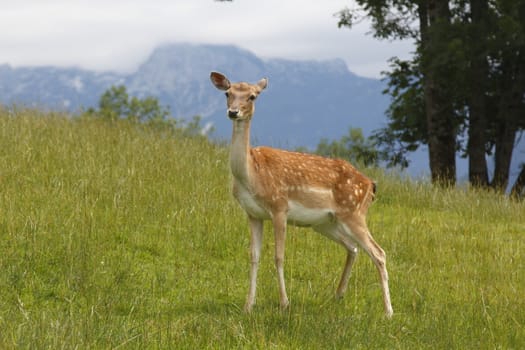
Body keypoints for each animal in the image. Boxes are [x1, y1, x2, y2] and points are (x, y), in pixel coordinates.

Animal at [209, 71, 392, 318]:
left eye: (253, 96)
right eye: (228, 93)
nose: (233, 112)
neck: (251, 175)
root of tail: (370, 185)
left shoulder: (279, 207)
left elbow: (279, 256)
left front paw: (285, 304)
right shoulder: (253, 214)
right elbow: (254, 256)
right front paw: (248, 306)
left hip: (353, 213)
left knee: (378, 253)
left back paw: (388, 312)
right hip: (327, 223)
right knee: (352, 247)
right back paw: (338, 295)